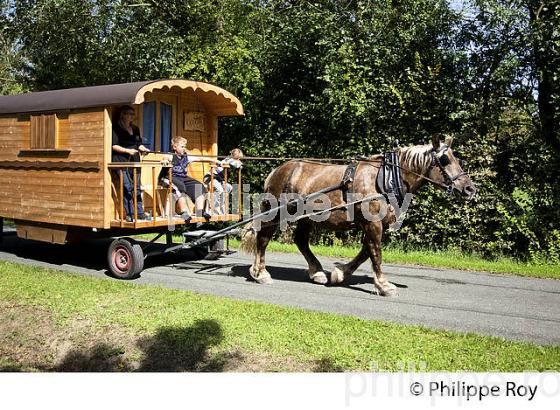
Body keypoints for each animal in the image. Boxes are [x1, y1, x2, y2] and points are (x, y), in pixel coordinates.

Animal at [243, 136, 474, 296]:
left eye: (454, 157)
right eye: (444, 160)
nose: (470, 188)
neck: (386, 178)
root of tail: (277, 170)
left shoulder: (375, 224)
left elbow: (366, 252)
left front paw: (341, 273)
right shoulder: (373, 224)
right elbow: (375, 253)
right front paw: (383, 285)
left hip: (307, 217)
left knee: (300, 240)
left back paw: (316, 272)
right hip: (276, 212)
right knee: (263, 239)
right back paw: (261, 273)